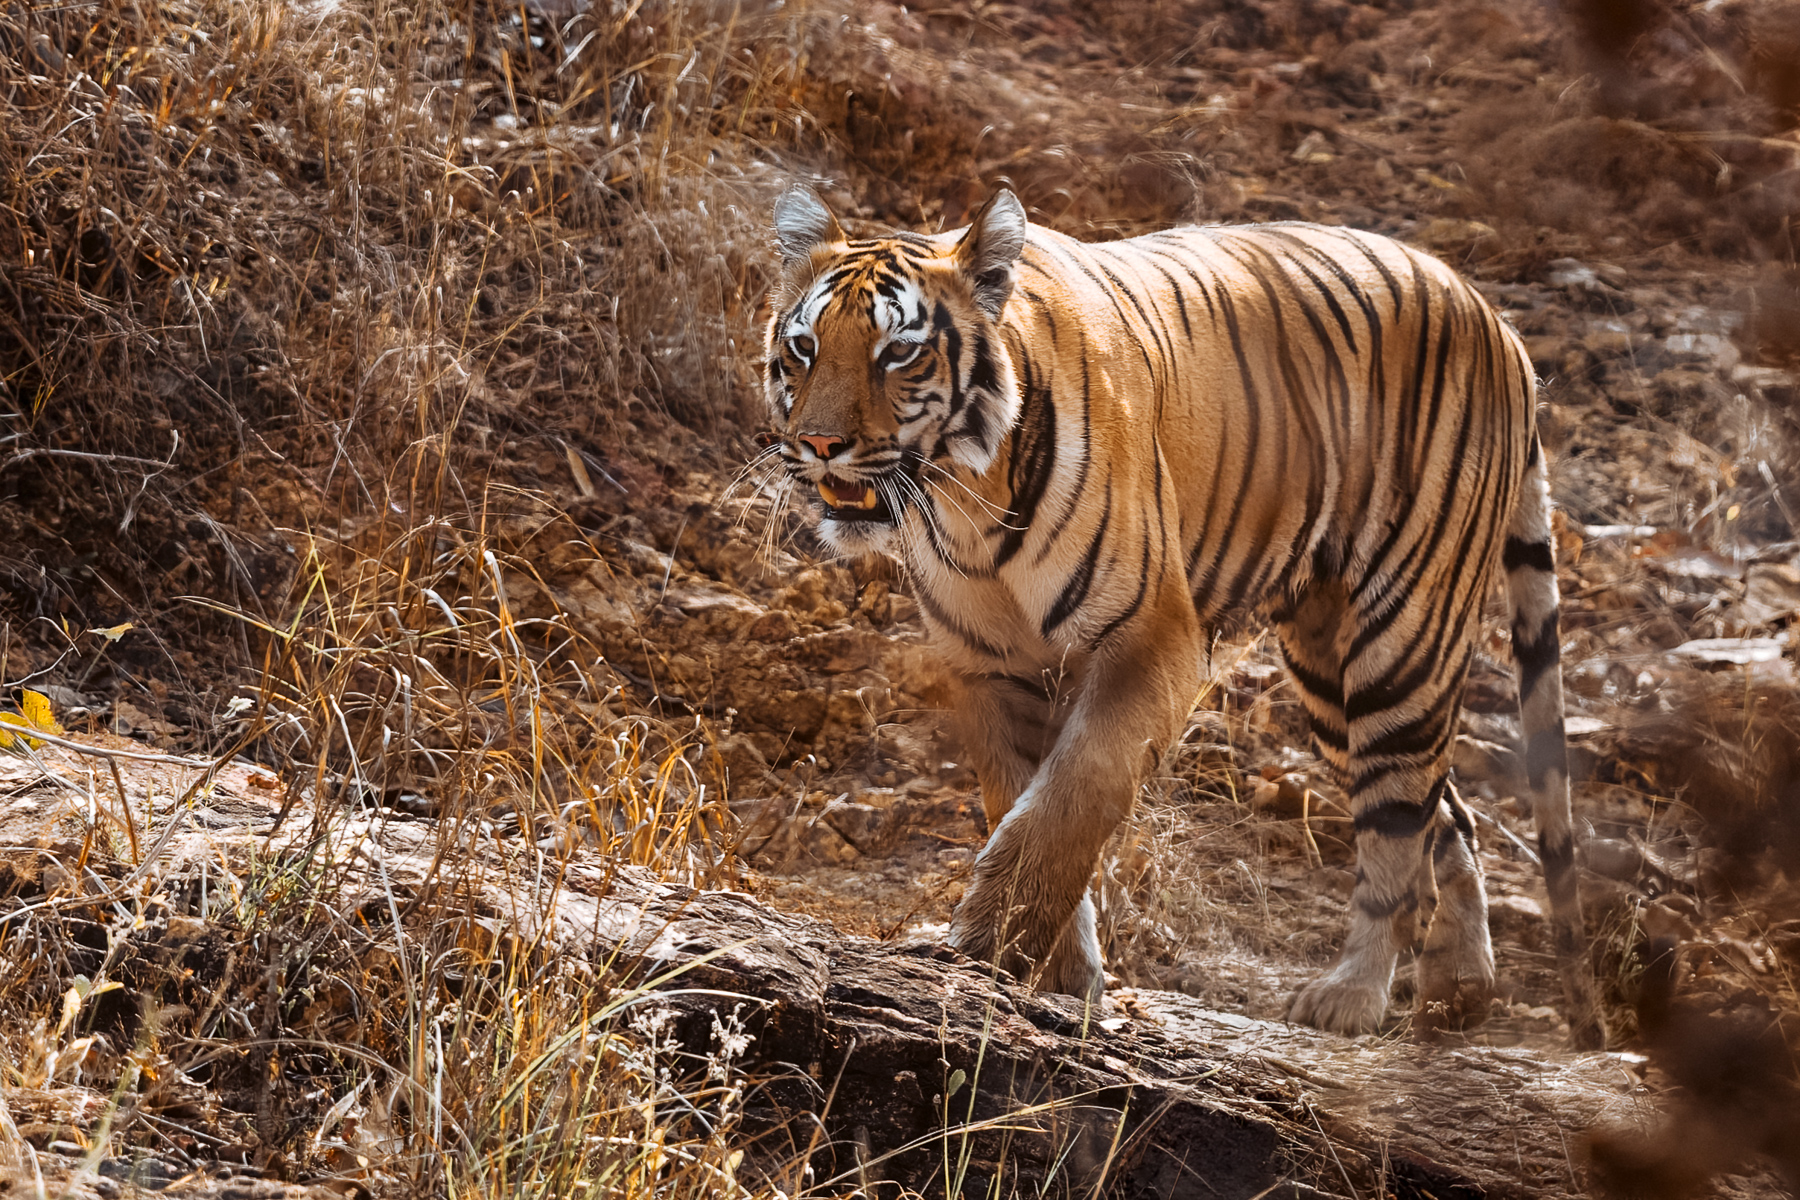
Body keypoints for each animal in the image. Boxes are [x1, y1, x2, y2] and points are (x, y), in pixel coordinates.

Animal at [759, 184, 1606, 1049]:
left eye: (899, 352)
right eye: (803, 347)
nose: (819, 444)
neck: (966, 504)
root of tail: (1493, 316)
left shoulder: (1150, 642)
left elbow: (1069, 797)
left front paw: (987, 947)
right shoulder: (989, 670)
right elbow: (1019, 802)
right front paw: (1060, 978)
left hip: (1403, 639)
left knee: (1399, 820)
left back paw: (1353, 996)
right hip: (1330, 668)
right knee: (1449, 810)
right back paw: (1458, 993)